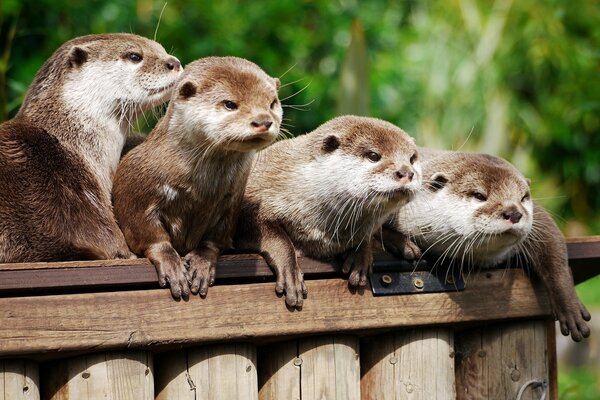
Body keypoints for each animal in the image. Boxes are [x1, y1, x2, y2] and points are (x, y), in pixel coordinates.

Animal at [113, 57, 282, 300]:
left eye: (272, 103)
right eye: (229, 104)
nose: (263, 121)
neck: (199, 192)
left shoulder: (231, 200)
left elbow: (216, 238)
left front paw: (202, 263)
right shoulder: (134, 191)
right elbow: (149, 234)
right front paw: (171, 264)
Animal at [232, 115, 420, 306]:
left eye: (412, 159)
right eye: (373, 155)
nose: (407, 172)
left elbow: (367, 234)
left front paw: (361, 255)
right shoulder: (253, 198)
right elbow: (276, 237)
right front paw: (291, 273)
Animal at [384, 148, 592, 342]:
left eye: (523, 197)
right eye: (479, 195)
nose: (514, 212)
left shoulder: (538, 221)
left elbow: (553, 246)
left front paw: (570, 306)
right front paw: (403, 244)